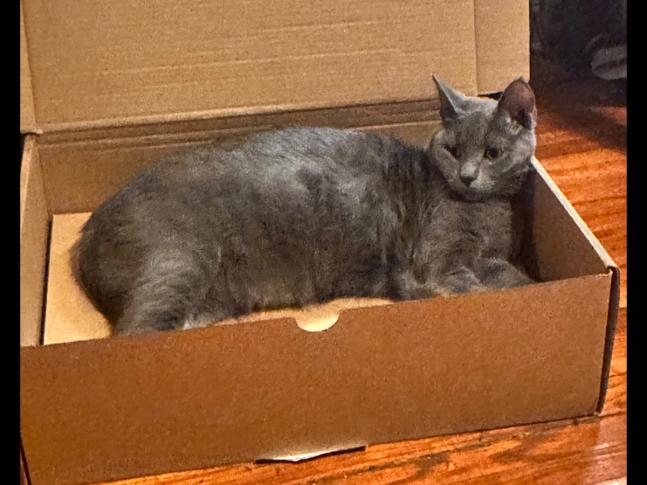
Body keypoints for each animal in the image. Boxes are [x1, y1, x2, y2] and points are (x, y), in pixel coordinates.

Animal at [75, 76, 538, 336]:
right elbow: (472, 289)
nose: (468, 176)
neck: (488, 212)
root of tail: (84, 237)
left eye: (493, 153)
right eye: (453, 149)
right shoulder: (437, 263)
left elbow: (511, 274)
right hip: (179, 261)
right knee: (136, 333)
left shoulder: (488, 255)